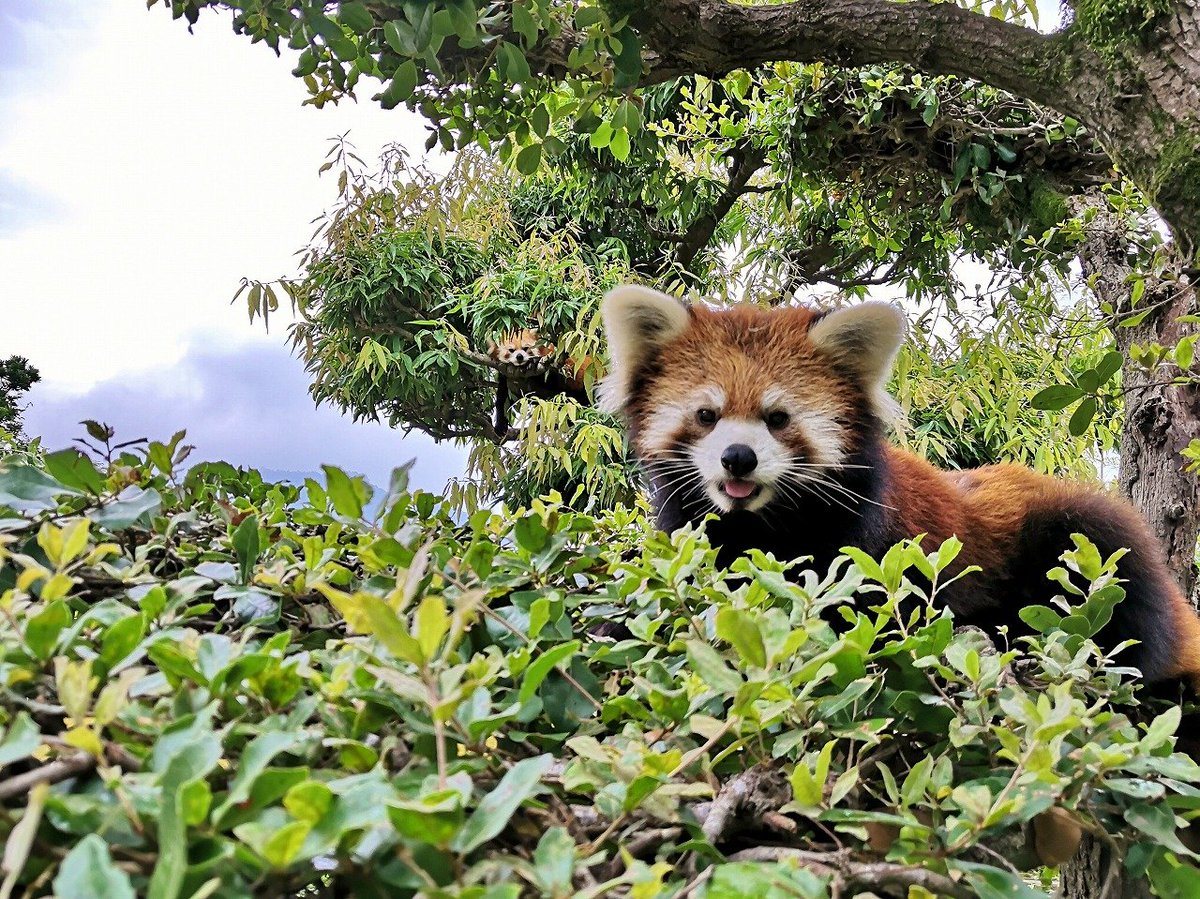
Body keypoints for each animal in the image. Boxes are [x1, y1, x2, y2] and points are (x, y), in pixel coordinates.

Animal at [600, 285, 1200, 686]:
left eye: (777, 419)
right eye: (707, 415)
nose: (737, 459)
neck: (765, 520)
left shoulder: (869, 542)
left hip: (1082, 540)